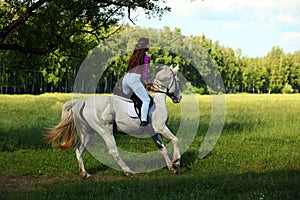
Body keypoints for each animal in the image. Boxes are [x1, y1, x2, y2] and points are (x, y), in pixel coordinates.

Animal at [45, 65, 182, 178]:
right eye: (178, 81)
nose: (179, 98)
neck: (157, 99)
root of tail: (82, 102)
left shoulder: (154, 131)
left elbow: (162, 148)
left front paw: (171, 167)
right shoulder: (161, 127)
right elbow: (175, 140)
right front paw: (176, 162)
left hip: (87, 132)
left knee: (79, 149)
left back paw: (84, 173)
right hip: (105, 130)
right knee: (113, 151)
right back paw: (128, 171)